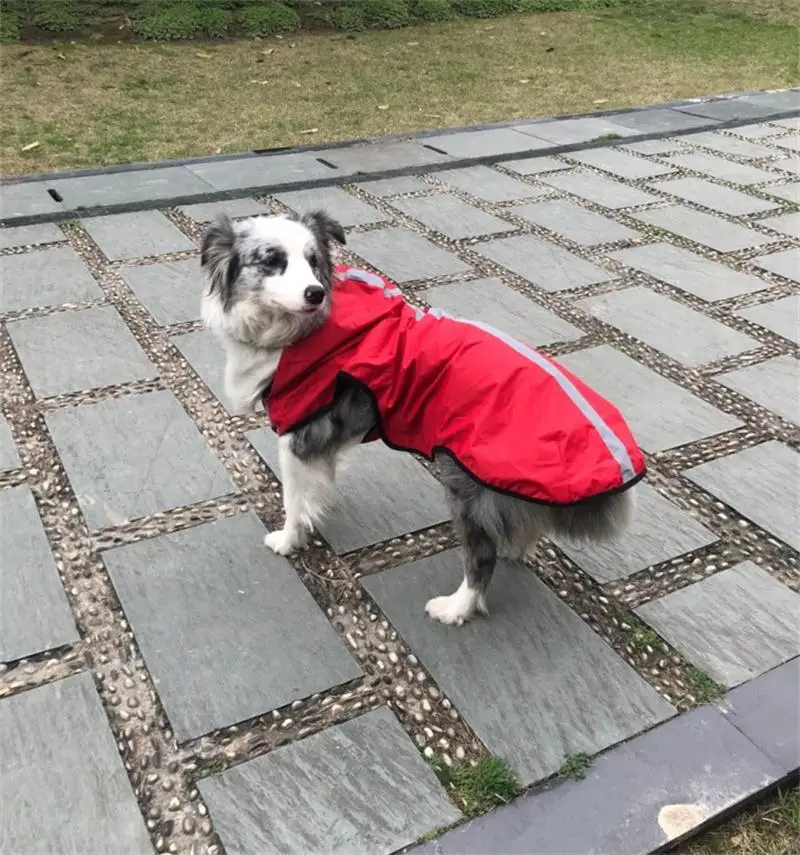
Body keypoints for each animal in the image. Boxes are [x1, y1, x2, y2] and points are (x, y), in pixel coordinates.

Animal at [202, 212, 644, 628]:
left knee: (481, 559)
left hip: (468, 488)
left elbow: (294, 499)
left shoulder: (299, 433)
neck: (306, 331)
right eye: (271, 261)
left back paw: (455, 608)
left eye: (313, 262)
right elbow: (318, 485)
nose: (316, 292)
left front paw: (287, 540)